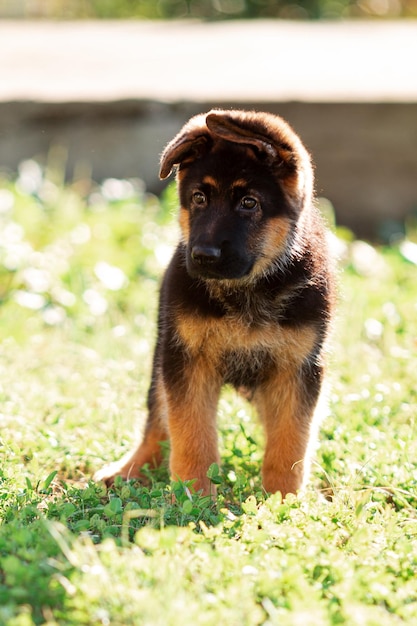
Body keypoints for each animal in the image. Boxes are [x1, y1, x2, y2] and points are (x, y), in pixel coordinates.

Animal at [95, 108, 334, 498]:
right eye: (198, 198)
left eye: (248, 203)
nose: (203, 255)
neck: (247, 291)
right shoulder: (187, 361)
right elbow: (191, 432)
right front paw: (193, 494)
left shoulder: (298, 369)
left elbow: (290, 441)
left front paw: (283, 499)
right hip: (162, 357)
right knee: (157, 419)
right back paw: (132, 469)